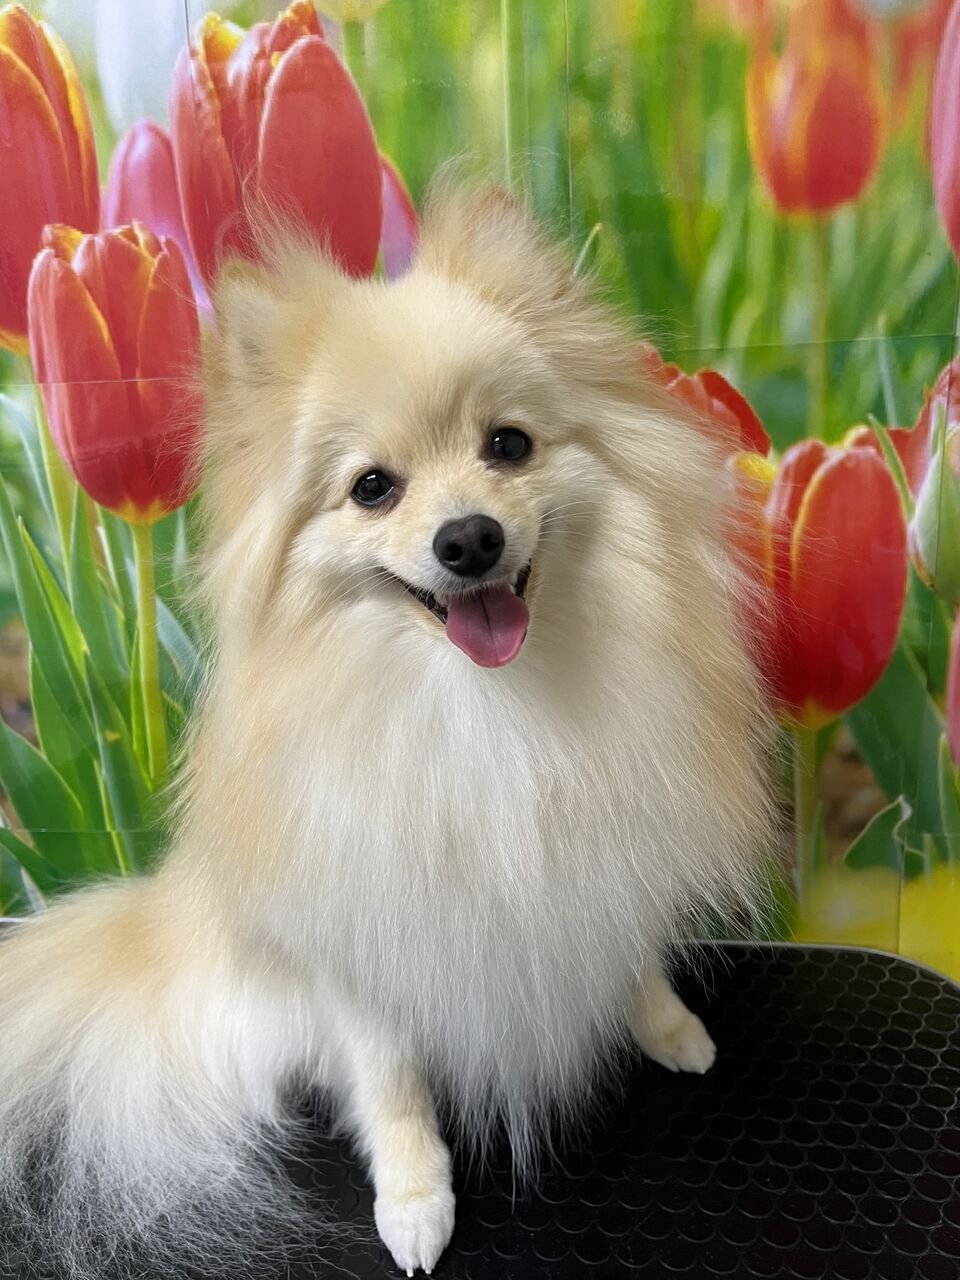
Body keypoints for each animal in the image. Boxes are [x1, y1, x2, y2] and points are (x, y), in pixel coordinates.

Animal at [0, 185, 771, 1278]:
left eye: (508, 445)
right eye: (373, 487)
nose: (469, 537)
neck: (486, 707)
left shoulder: (603, 847)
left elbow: (627, 950)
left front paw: (666, 1023)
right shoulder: (361, 929)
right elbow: (392, 1077)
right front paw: (414, 1198)